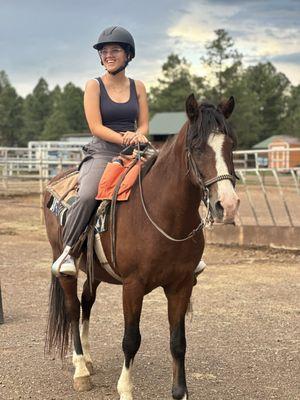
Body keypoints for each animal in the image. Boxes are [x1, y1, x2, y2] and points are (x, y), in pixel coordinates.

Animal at [44, 94, 239, 400]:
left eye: (231, 145)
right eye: (197, 147)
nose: (227, 205)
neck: (164, 216)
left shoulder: (181, 285)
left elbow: (178, 341)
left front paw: (180, 392)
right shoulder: (133, 285)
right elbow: (131, 339)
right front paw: (125, 389)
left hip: (96, 271)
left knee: (87, 301)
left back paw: (88, 358)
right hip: (64, 263)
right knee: (73, 308)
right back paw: (81, 369)